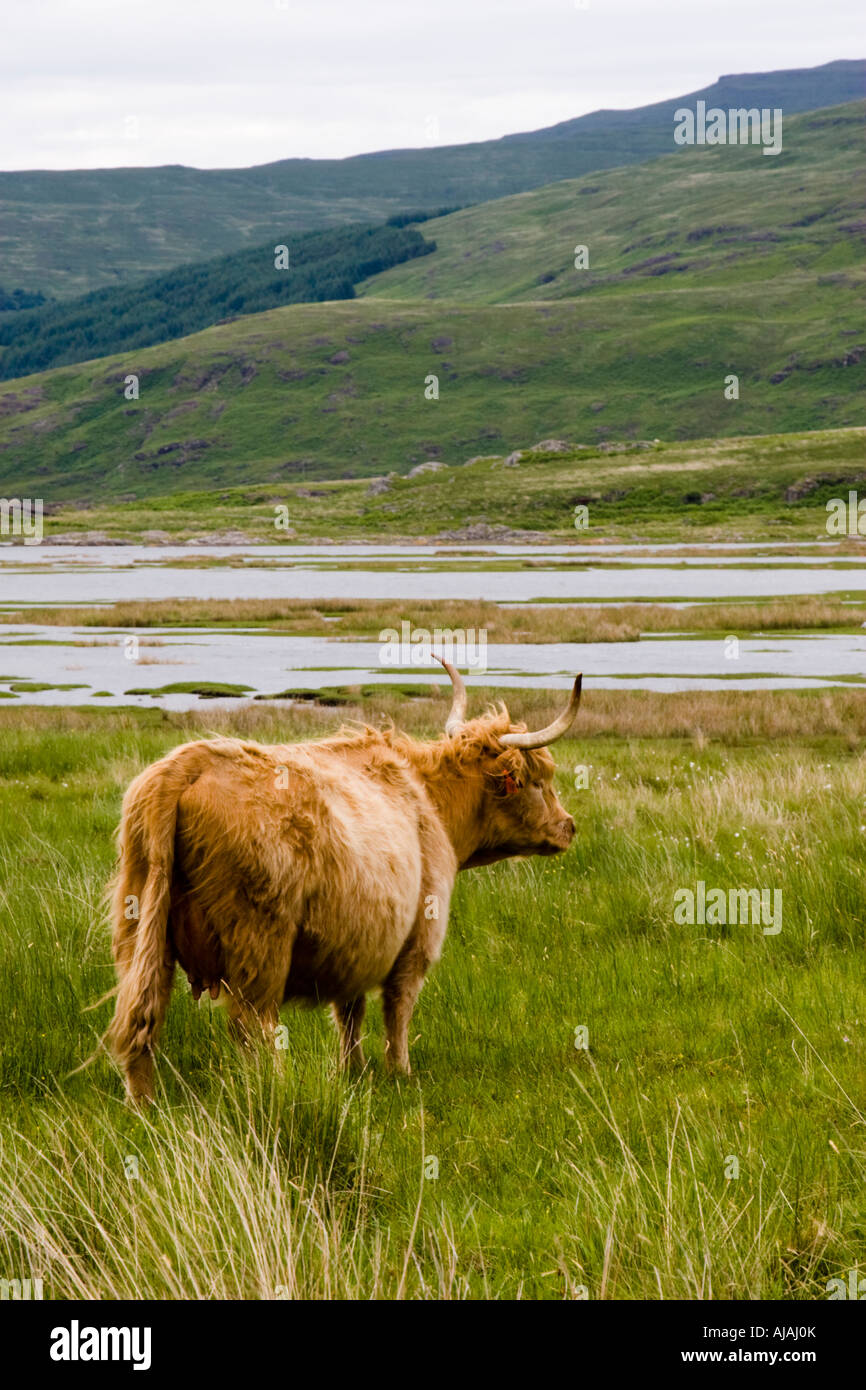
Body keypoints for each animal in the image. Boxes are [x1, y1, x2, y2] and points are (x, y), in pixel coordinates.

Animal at [107, 659, 582, 1102]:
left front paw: (351, 1071)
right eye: (536, 781)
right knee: (254, 1026)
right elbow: (397, 1010)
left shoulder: (356, 943)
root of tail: (187, 765)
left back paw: (144, 1104)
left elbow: (350, 1014)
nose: (569, 826)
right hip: (261, 943)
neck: (432, 801)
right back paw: (279, 1092)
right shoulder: (417, 940)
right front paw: (400, 1072)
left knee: (143, 1016)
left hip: (140, 926)